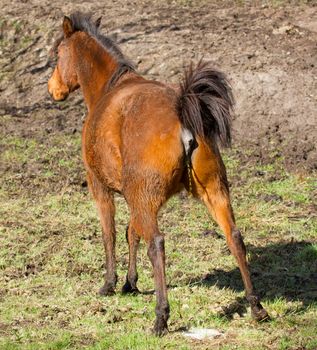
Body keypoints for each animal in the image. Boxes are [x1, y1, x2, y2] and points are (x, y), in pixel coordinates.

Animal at [48, 12, 268, 334]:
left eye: (57, 53)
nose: (53, 89)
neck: (109, 89)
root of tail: (182, 114)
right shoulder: (134, 199)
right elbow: (132, 233)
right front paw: (130, 283)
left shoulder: (100, 187)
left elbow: (111, 233)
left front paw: (110, 283)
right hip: (212, 191)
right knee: (235, 238)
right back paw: (256, 306)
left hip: (146, 198)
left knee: (157, 244)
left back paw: (161, 318)